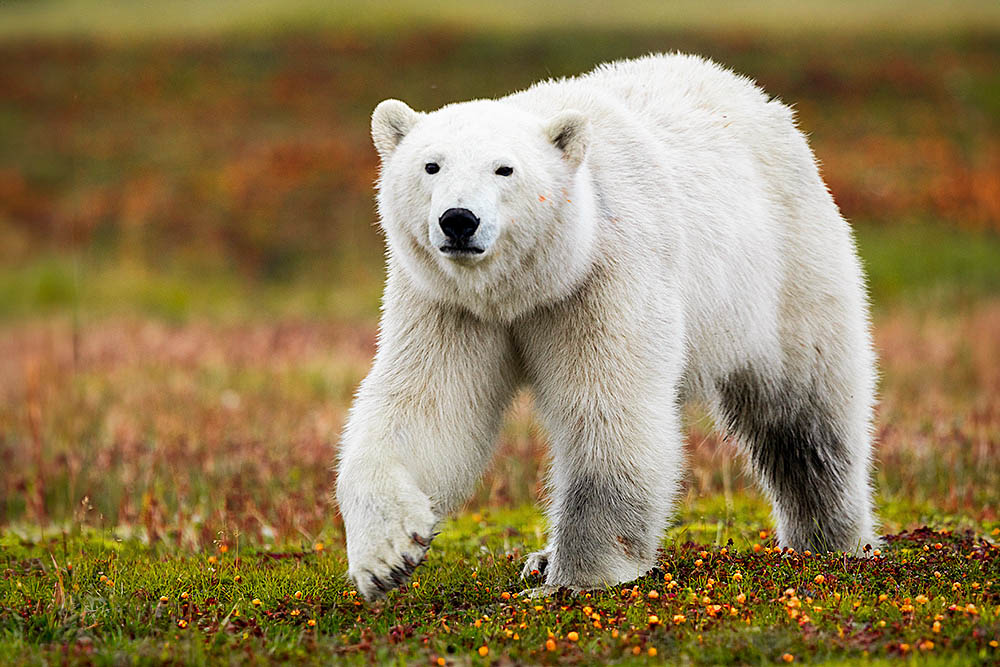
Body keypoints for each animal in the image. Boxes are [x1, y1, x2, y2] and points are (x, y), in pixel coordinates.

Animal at [334, 54, 876, 604]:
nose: (459, 220)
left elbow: (608, 410)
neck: (529, 287)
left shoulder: (605, 275)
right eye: (431, 165)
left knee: (805, 415)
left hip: (787, 271)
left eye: (504, 168)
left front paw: (577, 579)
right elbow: (426, 406)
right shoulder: (447, 302)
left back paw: (829, 541)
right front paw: (385, 556)